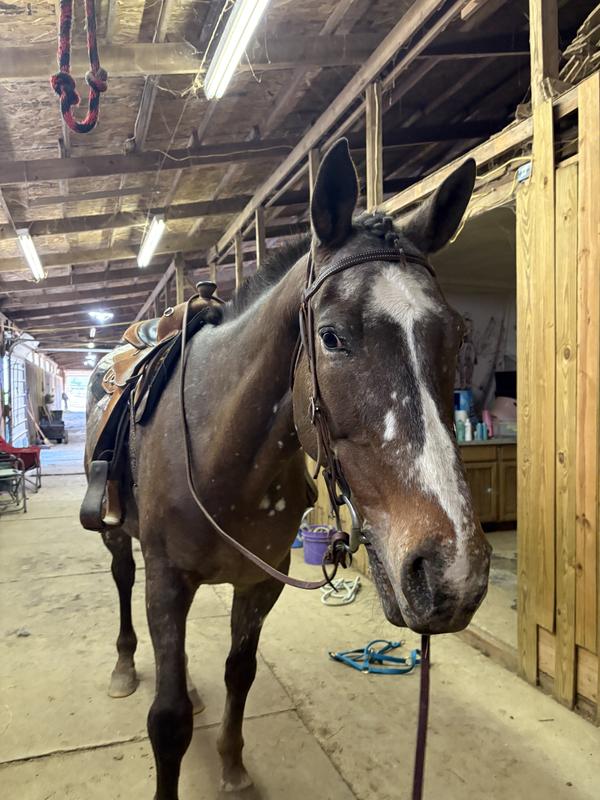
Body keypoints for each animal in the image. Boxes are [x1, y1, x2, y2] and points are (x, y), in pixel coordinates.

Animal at [84, 139, 491, 800]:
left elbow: (240, 673)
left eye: (456, 334)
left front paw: (232, 768)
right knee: (123, 579)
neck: (219, 453)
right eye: (331, 337)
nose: (452, 573)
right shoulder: (168, 579)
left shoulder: (261, 582)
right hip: (121, 536)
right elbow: (167, 721)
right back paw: (123, 665)